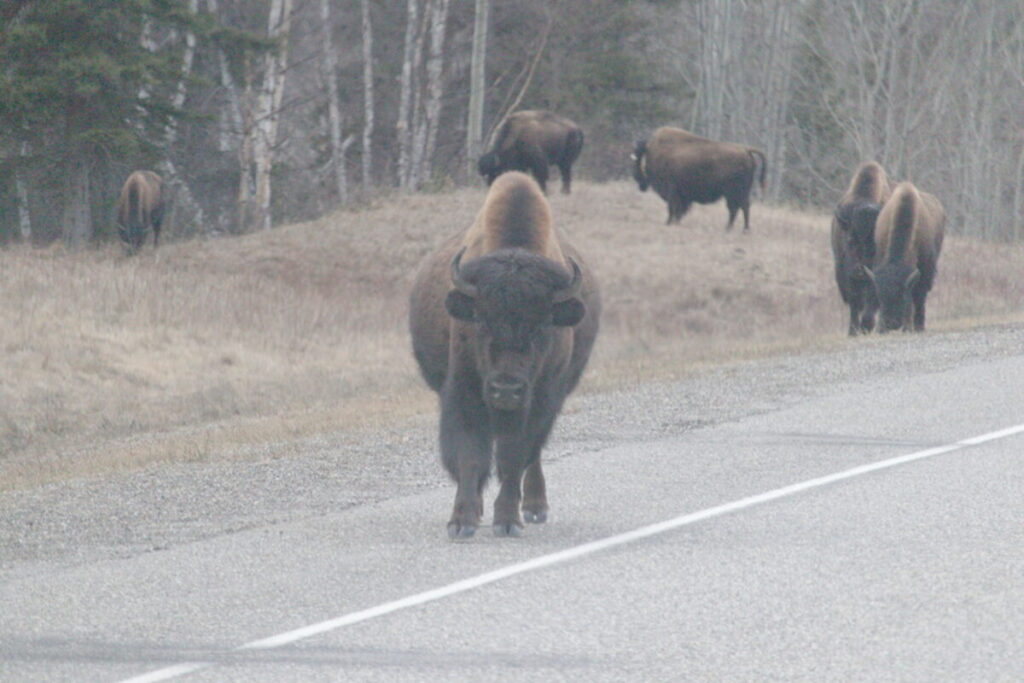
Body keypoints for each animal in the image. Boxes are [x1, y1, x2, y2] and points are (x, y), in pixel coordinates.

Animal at [409, 172, 601, 539]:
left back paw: (535, 508)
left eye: (543, 325)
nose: (506, 389)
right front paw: (462, 521)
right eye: (481, 320)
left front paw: (508, 520)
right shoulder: (465, 391)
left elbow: (514, 457)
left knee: (533, 456)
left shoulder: (540, 400)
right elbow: (470, 455)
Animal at [631, 126, 767, 231]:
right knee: (741, 207)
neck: (654, 151)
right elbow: (678, 210)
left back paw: (736, 228)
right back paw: (737, 228)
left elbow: (672, 208)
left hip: (734, 192)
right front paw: (675, 222)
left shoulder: (672, 190)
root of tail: (745, 150)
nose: (637, 178)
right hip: (739, 192)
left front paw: (668, 222)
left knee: (738, 208)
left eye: (638, 159)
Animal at [830, 161, 891, 335]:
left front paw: (867, 326)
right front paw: (853, 331)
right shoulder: (846, 275)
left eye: (876, 245)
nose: (860, 270)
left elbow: (872, 300)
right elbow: (855, 303)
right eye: (850, 240)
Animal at [864, 181, 946, 333]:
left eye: (902, 294)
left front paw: (914, 326)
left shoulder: (925, 269)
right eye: (880, 296)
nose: (891, 325)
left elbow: (918, 295)